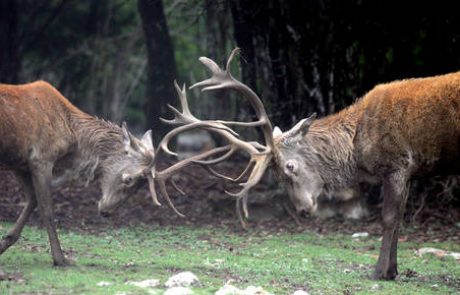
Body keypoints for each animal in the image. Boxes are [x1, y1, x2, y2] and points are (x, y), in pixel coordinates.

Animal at [0, 81, 162, 266]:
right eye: (129, 179)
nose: (107, 211)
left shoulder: (20, 162)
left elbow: (32, 200)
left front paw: (5, 242)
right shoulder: (41, 159)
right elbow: (47, 210)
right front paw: (60, 259)